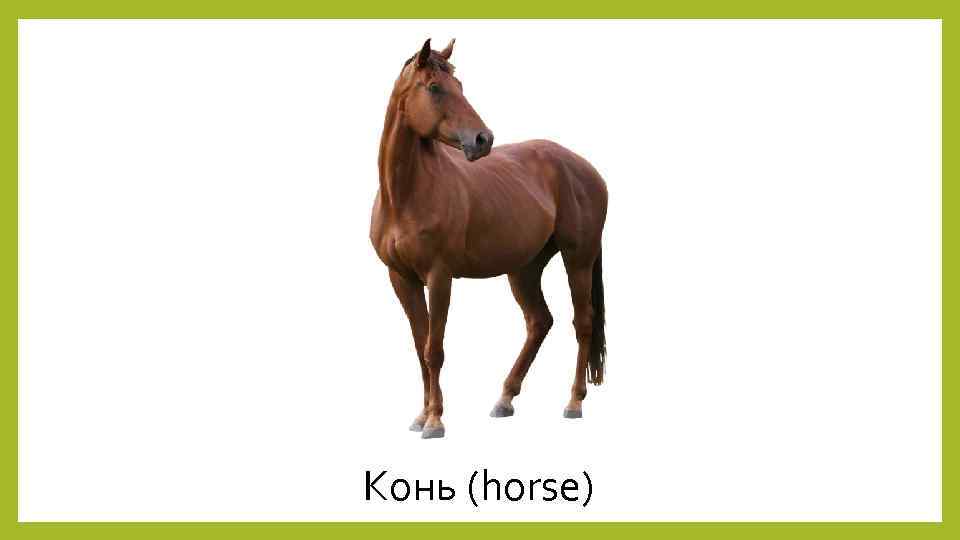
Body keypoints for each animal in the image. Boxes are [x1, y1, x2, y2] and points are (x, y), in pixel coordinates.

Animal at [370, 38, 608, 439]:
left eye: (460, 86)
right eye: (434, 88)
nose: (482, 140)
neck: (407, 194)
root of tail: (586, 169)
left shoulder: (440, 277)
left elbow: (435, 349)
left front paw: (435, 420)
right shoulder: (401, 279)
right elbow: (421, 346)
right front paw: (421, 415)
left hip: (578, 260)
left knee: (583, 323)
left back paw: (574, 402)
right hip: (524, 268)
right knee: (539, 321)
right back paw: (505, 399)